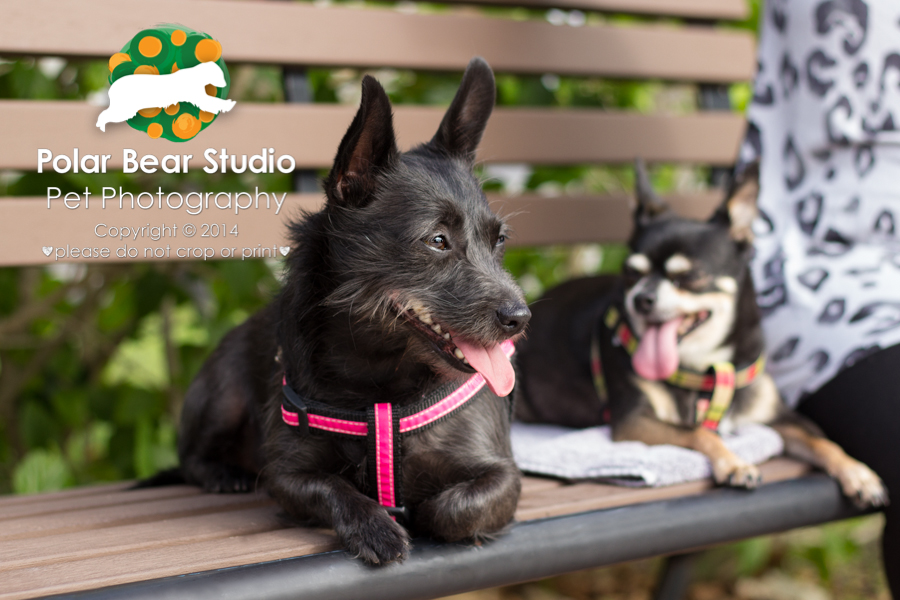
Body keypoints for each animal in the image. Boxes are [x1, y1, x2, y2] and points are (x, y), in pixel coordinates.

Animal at [172, 58, 532, 564]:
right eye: (437, 240)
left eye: (499, 239)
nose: (519, 319)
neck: (380, 383)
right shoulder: (286, 475)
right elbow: (334, 489)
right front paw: (375, 527)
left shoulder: (504, 475)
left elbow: (453, 508)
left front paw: (419, 512)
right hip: (222, 393)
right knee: (190, 457)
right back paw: (225, 473)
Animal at [512, 161, 884, 510]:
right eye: (631, 273)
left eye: (688, 277)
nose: (641, 298)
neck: (704, 365)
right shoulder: (635, 421)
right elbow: (700, 433)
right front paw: (735, 464)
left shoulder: (779, 417)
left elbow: (822, 442)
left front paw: (857, 472)